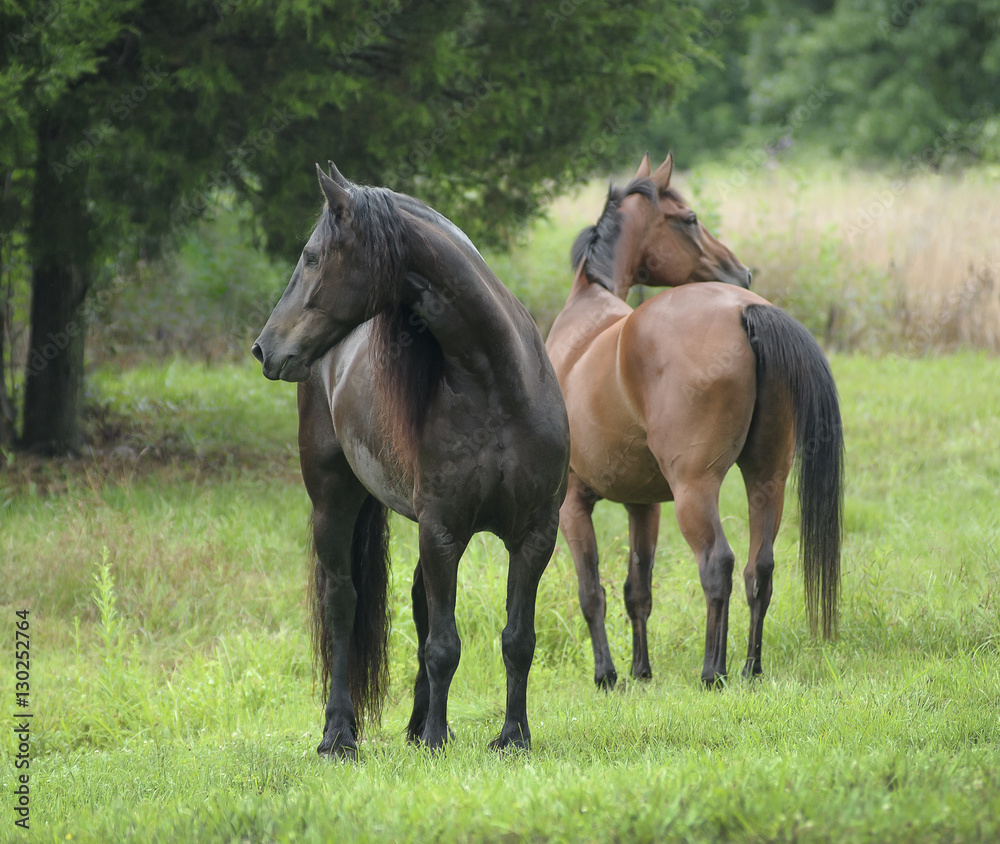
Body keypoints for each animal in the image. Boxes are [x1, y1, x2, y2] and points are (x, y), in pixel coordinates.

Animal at [254, 165, 572, 760]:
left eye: (312, 256)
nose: (264, 347)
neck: (497, 387)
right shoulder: (442, 529)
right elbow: (444, 644)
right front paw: (438, 738)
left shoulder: (534, 534)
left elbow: (517, 640)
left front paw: (512, 737)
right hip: (334, 503)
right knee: (342, 604)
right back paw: (339, 734)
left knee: (420, 603)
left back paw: (414, 725)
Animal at [548, 155, 844, 688]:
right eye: (688, 219)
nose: (741, 271)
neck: (588, 308)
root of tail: (746, 311)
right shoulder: (643, 504)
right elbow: (636, 589)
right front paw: (641, 671)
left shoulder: (573, 504)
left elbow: (591, 591)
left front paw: (607, 675)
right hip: (766, 478)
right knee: (759, 569)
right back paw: (749, 666)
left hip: (695, 488)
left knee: (717, 564)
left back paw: (714, 670)